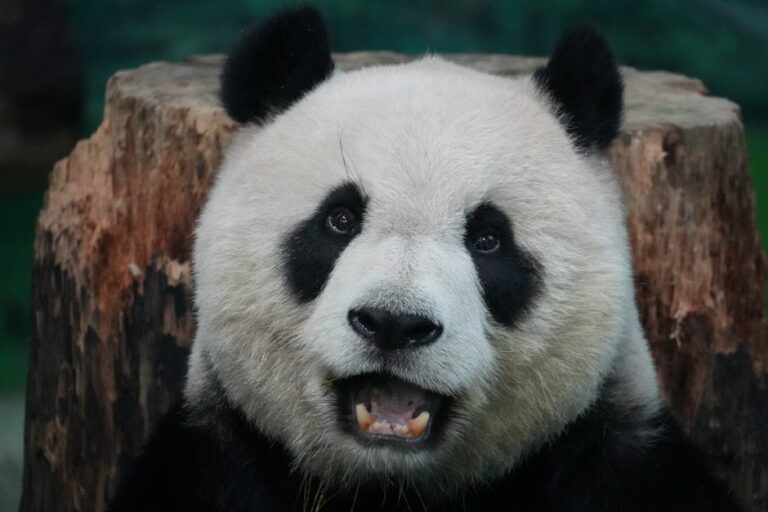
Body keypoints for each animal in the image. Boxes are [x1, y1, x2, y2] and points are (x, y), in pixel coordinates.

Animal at [110, 6, 745, 512]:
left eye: (488, 240)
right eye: (340, 219)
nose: (394, 323)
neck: (390, 485)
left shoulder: (617, 455)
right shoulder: (212, 458)